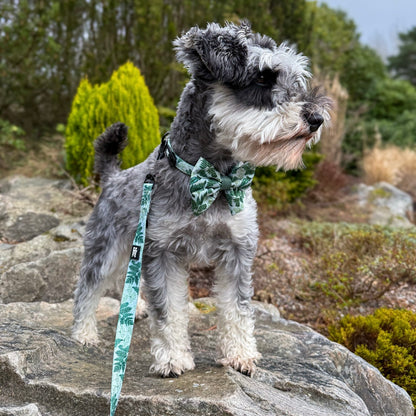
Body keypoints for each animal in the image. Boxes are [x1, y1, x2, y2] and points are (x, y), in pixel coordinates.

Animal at [72, 23, 332, 380]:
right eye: (262, 78)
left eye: (297, 79)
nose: (317, 118)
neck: (213, 177)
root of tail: (112, 177)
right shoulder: (163, 251)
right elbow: (168, 309)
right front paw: (171, 358)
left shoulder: (238, 251)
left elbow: (237, 308)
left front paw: (240, 355)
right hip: (106, 249)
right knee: (88, 287)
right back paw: (83, 333)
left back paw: (133, 308)